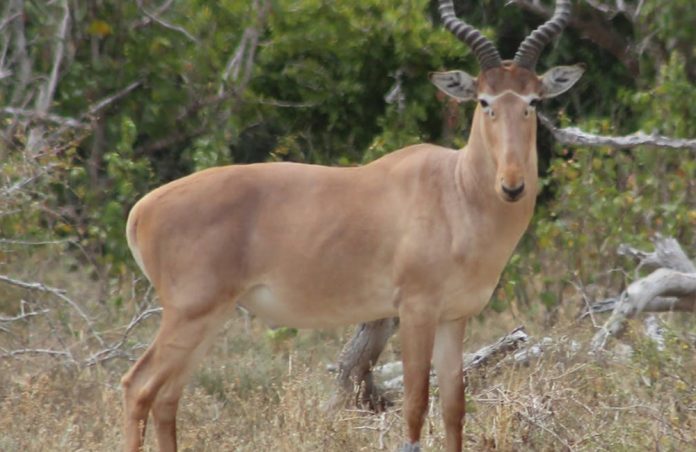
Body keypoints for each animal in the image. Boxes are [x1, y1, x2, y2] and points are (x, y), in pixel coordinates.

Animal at [121, 0, 583, 450]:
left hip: (211, 319)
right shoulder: (415, 310)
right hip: (188, 314)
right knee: (137, 387)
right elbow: (415, 406)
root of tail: (142, 209)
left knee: (167, 398)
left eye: (533, 101)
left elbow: (454, 409)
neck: (455, 186)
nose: (512, 185)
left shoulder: (454, 317)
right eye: (484, 101)